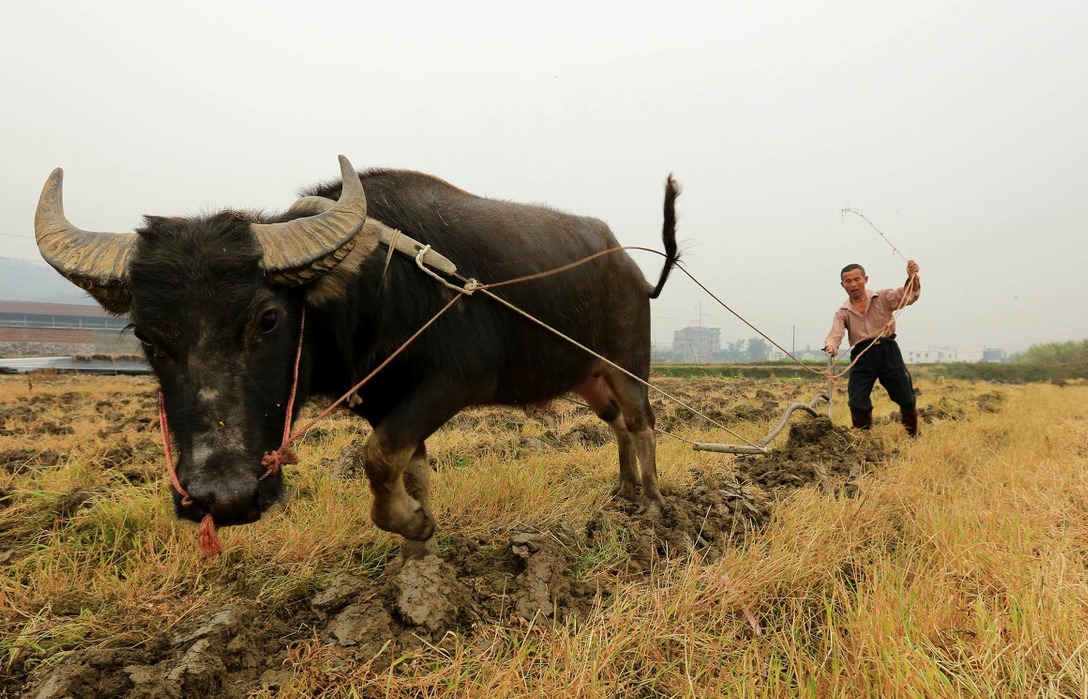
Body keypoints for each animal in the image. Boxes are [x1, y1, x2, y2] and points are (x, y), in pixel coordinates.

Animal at [34, 154, 674, 553]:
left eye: (269, 319)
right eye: (146, 335)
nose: (225, 498)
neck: (371, 293)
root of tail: (631, 268)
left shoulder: (456, 381)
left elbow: (377, 457)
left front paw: (410, 524)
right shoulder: (386, 401)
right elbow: (407, 467)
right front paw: (421, 536)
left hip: (628, 366)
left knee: (643, 424)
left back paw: (652, 501)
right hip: (590, 379)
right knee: (617, 426)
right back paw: (621, 492)